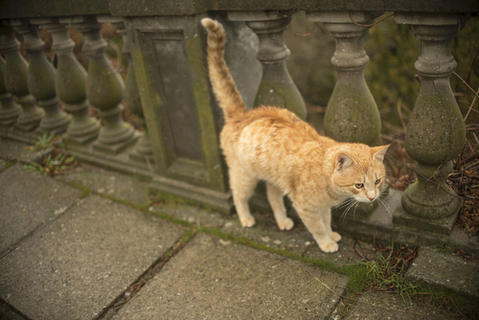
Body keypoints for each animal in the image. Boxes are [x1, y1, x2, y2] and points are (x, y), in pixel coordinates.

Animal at [201, 18, 388, 252]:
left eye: (378, 181)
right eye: (359, 185)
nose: (372, 198)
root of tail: (242, 114)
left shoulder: (322, 207)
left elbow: (327, 220)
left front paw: (332, 234)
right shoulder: (306, 207)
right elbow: (318, 227)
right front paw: (326, 243)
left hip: (273, 178)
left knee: (273, 198)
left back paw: (282, 221)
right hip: (245, 176)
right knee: (238, 195)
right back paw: (245, 218)